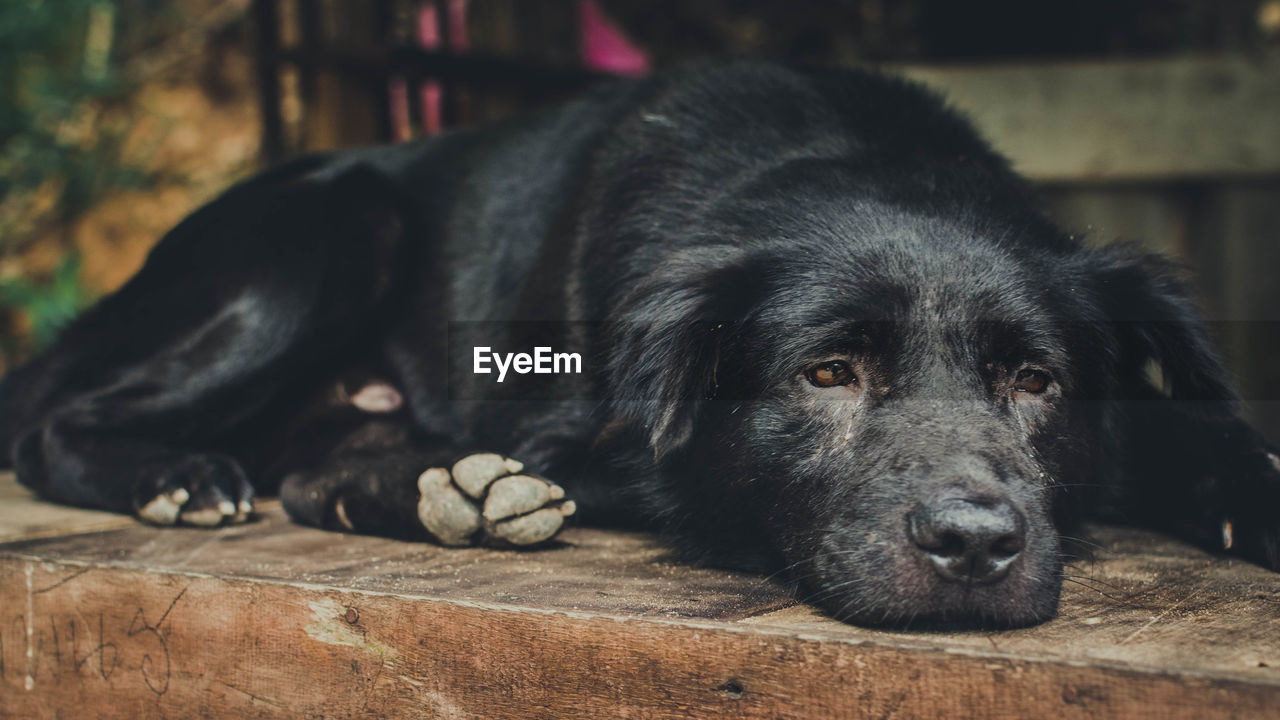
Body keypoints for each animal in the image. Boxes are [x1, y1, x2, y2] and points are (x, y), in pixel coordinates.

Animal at [2, 60, 1280, 622]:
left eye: (1034, 379)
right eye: (825, 372)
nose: (972, 546)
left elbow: (1188, 438)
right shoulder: (570, 421)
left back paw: (434, 490)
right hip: (329, 234)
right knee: (58, 421)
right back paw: (183, 476)